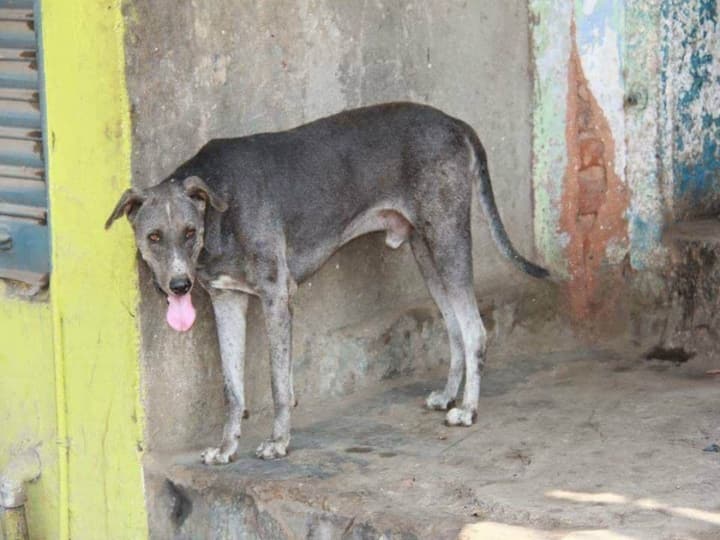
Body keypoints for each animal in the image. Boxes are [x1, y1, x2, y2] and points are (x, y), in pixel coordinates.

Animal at [105, 102, 544, 464]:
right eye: (154, 237)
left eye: (189, 232)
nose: (179, 285)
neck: (218, 207)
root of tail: (455, 122)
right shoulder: (226, 300)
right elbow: (233, 388)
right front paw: (227, 447)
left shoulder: (276, 295)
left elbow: (279, 383)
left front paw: (278, 442)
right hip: (426, 251)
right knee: (454, 328)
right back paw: (449, 395)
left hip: (448, 241)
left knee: (474, 331)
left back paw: (468, 409)